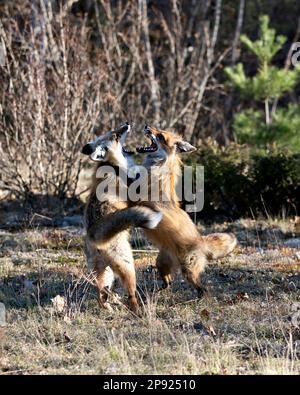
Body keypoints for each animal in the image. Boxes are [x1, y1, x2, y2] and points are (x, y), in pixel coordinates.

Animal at [81, 124, 162, 312]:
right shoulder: (134, 193)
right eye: (117, 136)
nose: (126, 124)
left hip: (105, 273)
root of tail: (93, 234)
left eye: (116, 131)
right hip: (127, 266)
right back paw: (138, 310)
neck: (113, 166)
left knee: (101, 294)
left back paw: (109, 307)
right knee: (130, 296)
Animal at [136, 125, 237, 296]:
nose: (146, 126)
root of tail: (201, 240)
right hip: (161, 262)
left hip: (188, 269)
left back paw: (200, 297)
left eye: (161, 136)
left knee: (202, 288)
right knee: (168, 281)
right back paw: (158, 291)